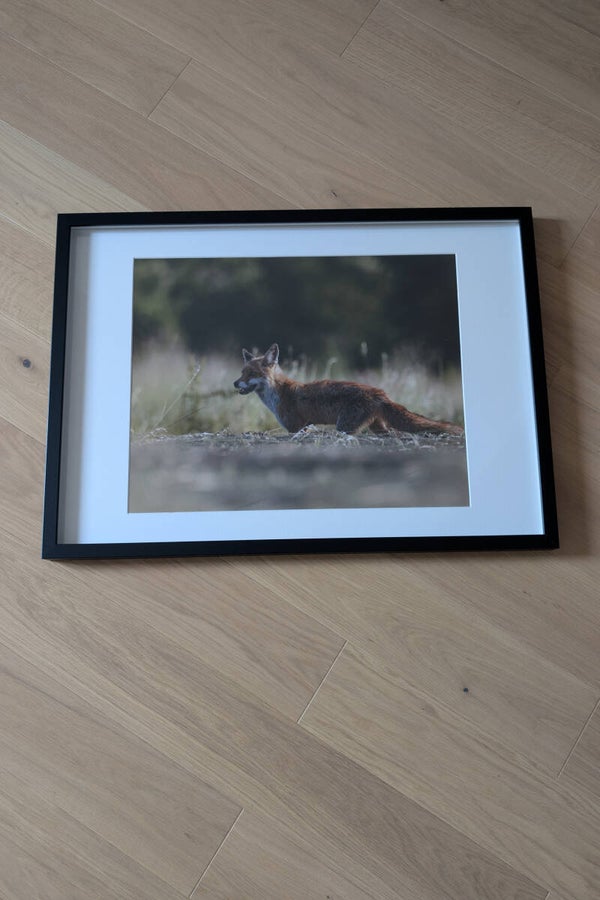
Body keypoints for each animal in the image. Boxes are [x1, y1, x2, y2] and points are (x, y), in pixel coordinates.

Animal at [234, 344, 464, 436]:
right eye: (241, 372)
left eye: (250, 373)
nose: (235, 383)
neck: (277, 394)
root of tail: (380, 392)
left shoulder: (296, 427)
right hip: (376, 426)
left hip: (344, 426)